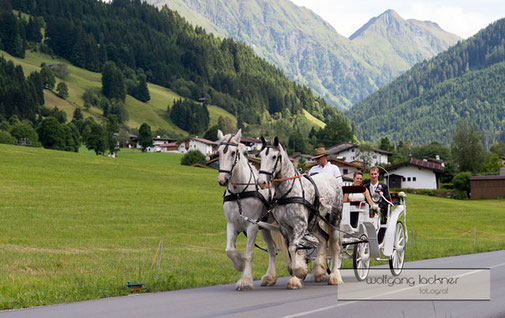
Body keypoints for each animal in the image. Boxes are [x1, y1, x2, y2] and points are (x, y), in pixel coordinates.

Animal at [217, 129, 286, 290]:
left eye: (233, 153)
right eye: (219, 152)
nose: (222, 180)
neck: (238, 193)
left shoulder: (252, 225)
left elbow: (249, 253)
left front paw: (246, 280)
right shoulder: (231, 224)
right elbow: (229, 250)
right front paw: (239, 264)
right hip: (265, 228)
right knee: (272, 249)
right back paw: (270, 277)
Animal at [256, 135, 342, 290]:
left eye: (274, 156)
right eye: (260, 155)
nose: (262, 182)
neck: (288, 192)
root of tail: (332, 179)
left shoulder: (300, 226)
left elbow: (292, 247)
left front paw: (298, 273)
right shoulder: (286, 227)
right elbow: (292, 249)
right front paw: (296, 274)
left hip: (334, 219)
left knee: (334, 245)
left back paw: (334, 276)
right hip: (313, 223)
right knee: (323, 238)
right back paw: (319, 271)